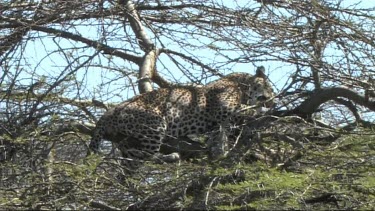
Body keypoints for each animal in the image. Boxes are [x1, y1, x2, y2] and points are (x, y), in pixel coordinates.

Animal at [89, 67, 274, 171]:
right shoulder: (225, 109)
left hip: (128, 145)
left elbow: (218, 137)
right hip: (155, 123)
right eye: (270, 88)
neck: (242, 85)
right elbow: (246, 110)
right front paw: (263, 111)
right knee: (148, 155)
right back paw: (171, 156)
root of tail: (108, 113)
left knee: (131, 162)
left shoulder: (218, 125)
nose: (272, 100)